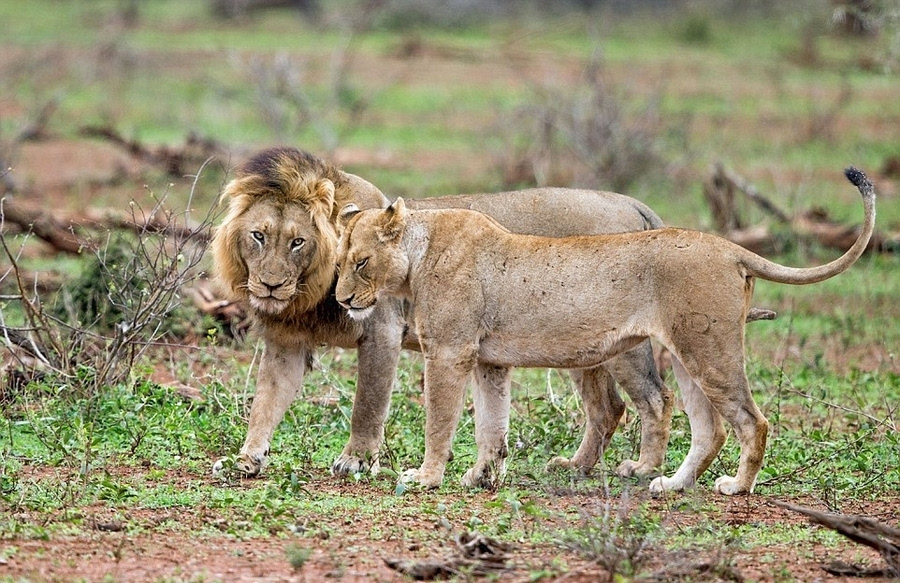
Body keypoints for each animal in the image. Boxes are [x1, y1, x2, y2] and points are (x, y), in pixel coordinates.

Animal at [213, 147, 688, 484]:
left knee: (655, 398)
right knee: (607, 408)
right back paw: (575, 467)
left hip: (621, 344)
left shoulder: (383, 331)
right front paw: (247, 458)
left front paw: (355, 461)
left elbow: (367, 404)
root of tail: (631, 202)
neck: (307, 293)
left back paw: (642, 470)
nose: (269, 286)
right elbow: (265, 402)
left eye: (298, 242)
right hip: (580, 347)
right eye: (258, 236)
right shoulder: (286, 343)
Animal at [334, 167, 876, 496]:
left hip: (707, 351)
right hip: (687, 354)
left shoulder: (448, 351)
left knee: (749, 421)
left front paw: (425, 477)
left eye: (360, 262)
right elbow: (492, 424)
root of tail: (729, 247)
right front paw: (480, 476)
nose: (340, 300)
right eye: (337, 262)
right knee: (709, 427)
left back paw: (735, 487)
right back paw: (670, 485)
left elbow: (439, 420)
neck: (418, 253)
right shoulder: (489, 360)